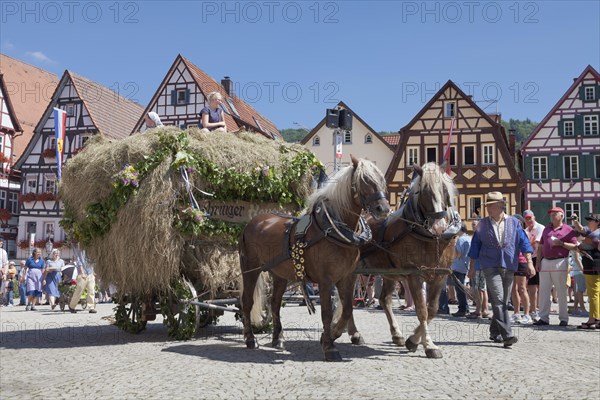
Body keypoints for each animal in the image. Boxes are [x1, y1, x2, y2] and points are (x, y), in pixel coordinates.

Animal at [239, 155, 390, 360]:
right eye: (365, 180)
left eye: (381, 179)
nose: (383, 209)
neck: (333, 230)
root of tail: (253, 222)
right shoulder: (325, 280)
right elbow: (327, 312)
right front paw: (329, 346)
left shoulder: (347, 277)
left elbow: (347, 309)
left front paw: (334, 334)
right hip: (250, 269)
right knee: (247, 302)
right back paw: (249, 338)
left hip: (279, 274)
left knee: (275, 303)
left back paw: (278, 338)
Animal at [358, 162, 462, 360]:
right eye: (423, 192)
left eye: (444, 190)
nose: (439, 227)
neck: (431, 238)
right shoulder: (415, 275)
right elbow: (422, 310)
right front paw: (428, 345)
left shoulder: (441, 275)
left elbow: (432, 309)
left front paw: (412, 340)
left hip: (389, 274)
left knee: (384, 299)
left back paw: (397, 334)